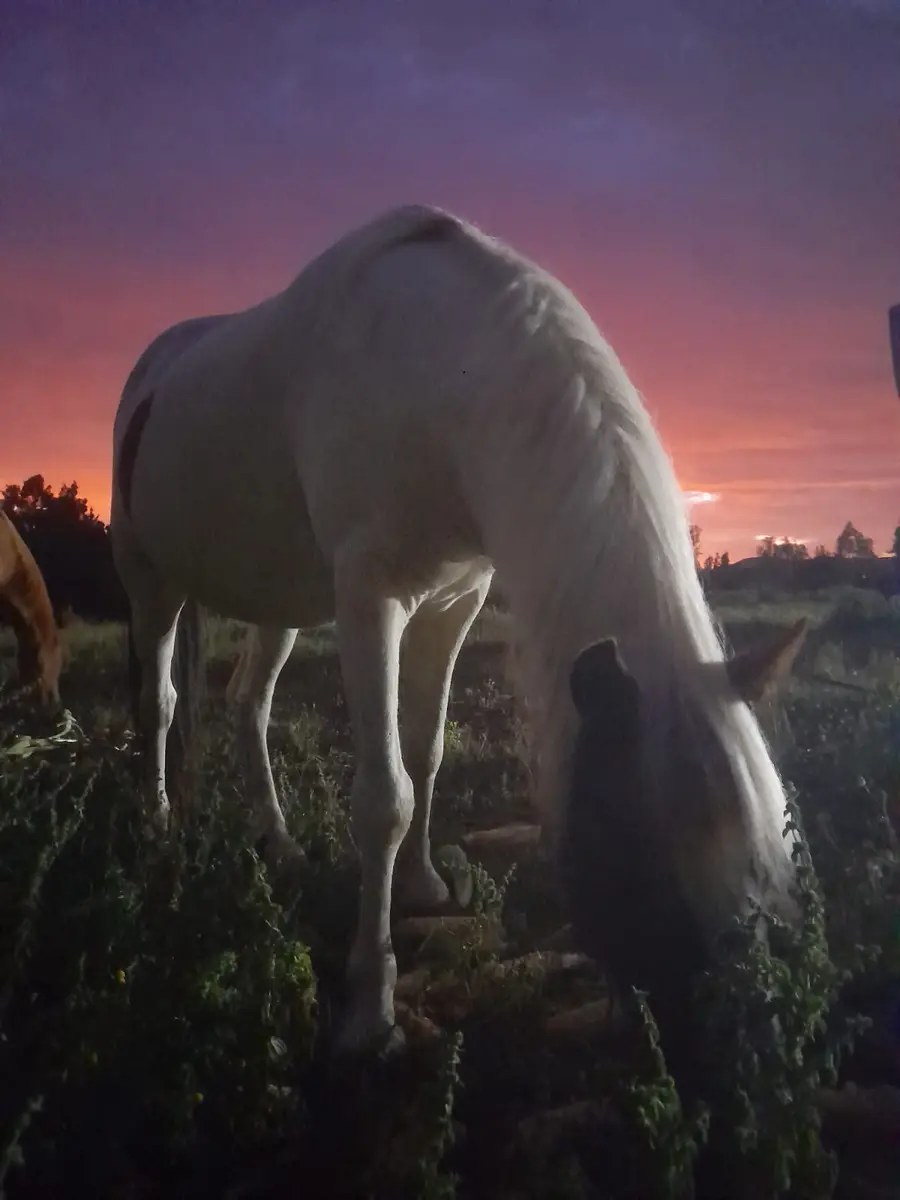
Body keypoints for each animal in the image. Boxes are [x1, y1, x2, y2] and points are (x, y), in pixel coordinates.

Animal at [111, 203, 809, 1058]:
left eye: (771, 873)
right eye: (645, 870)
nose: (737, 1069)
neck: (440, 383)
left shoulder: (454, 601)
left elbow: (426, 752)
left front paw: (421, 885)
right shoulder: (369, 597)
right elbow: (384, 796)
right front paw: (370, 1008)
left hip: (278, 600)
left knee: (250, 705)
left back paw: (278, 842)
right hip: (149, 576)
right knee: (161, 704)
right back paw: (159, 829)